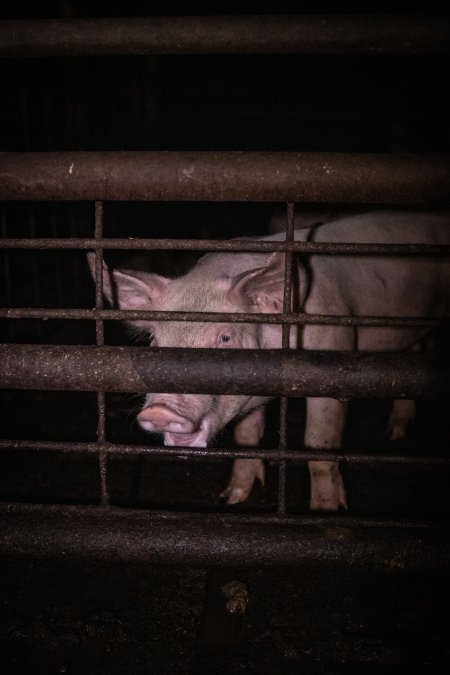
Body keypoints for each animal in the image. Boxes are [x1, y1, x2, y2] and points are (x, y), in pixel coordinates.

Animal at [88, 211, 450, 512]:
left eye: (225, 338)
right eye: (154, 339)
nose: (159, 410)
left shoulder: (335, 364)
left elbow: (318, 447)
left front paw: (325, 511)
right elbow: (248, 436)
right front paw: (232, 498)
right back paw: (395, 434)